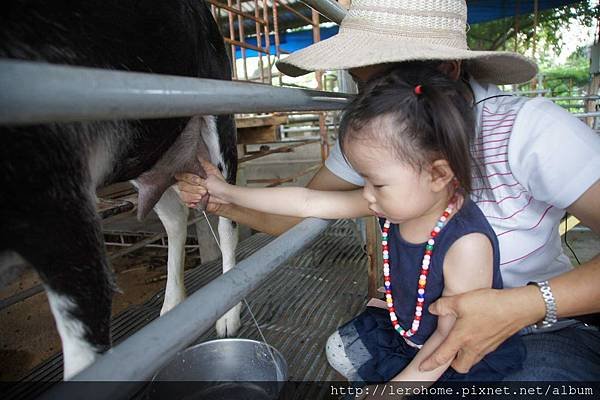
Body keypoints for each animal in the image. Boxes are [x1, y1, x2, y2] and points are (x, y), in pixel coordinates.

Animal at [2, 0, 241, 378]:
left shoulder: (58, 206)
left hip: (218, 115)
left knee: (227, 220)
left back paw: (229, 314)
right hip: (151, 153)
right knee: (175, 218)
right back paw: (172, 305)